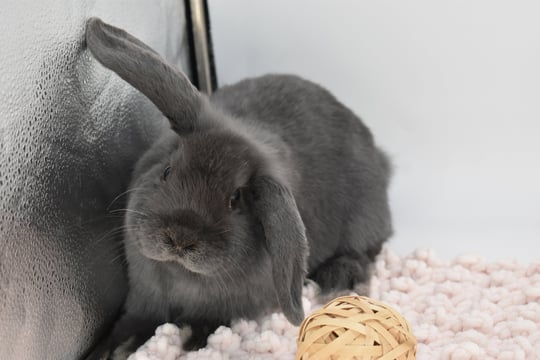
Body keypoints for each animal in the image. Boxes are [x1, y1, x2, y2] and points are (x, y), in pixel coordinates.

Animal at [85, 16, 392, 358]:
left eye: (235, 199)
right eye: (167, 171)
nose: (179, 238)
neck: (181, 275)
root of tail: (379, 157)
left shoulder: (221, 308)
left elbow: (208, 322)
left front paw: (194, 341)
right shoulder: (144, 299)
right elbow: (133, 323)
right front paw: (111, 349)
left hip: (363, 219)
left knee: (363, 250)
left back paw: (340, 279)